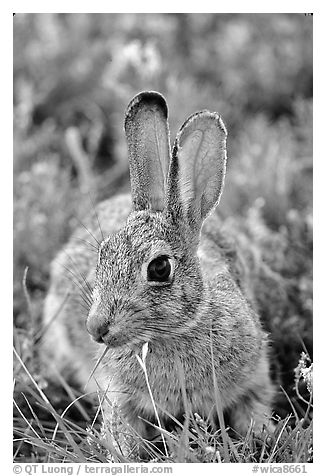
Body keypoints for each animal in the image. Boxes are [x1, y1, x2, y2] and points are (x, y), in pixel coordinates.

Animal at [42, 90, 274, 458]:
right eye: (103, 253)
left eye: (160, 268)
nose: (95, 328)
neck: (174, 333)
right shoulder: (118, 394)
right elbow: (123, 432)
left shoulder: (254, 376)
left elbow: (255, 411)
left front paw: (264, 436)